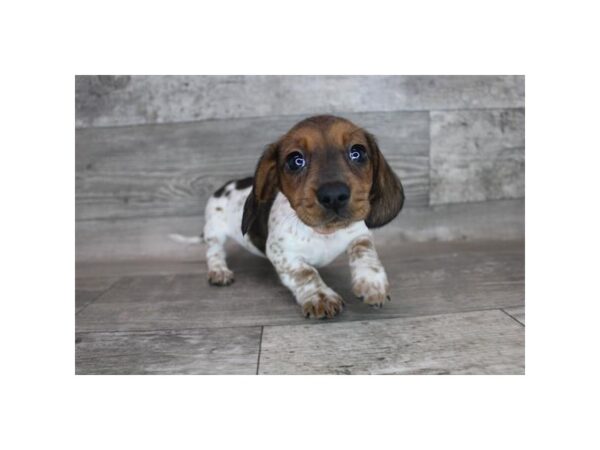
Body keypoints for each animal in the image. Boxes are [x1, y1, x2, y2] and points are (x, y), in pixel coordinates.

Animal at [204, 116, 406, 320]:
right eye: (296, 160)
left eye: (358, 152)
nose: (334, 195)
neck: (324, 233)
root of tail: (224, 186)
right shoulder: (282, 253)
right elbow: (306, 272)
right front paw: (320, 297)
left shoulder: (359, 233)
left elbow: (364, 251)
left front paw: (371, 283)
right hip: (214, 232)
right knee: (214, 252)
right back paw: (219, 271)